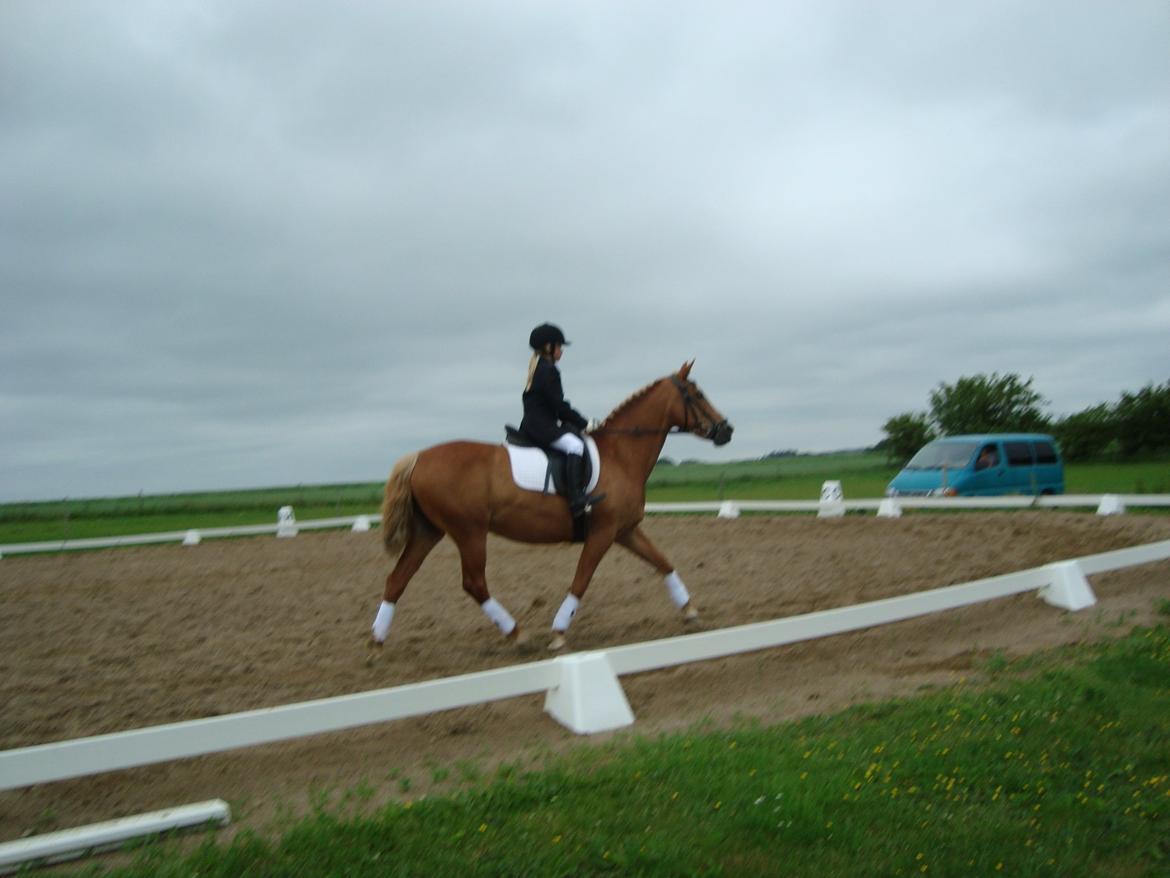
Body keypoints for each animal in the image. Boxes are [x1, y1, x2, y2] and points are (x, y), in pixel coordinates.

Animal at [369, 358, 730, 655]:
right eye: (696, 395)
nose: (727, 429)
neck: (621, 455)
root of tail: (418, 458)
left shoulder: (625, 530)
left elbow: (663, 563)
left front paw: (689, 609)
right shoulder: (603, 533)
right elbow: (581, 580)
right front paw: (558, 633)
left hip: (429, 530)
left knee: (398, 579)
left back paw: (377, 641)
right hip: (468, 531)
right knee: (473, 583)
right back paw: (517, 634)